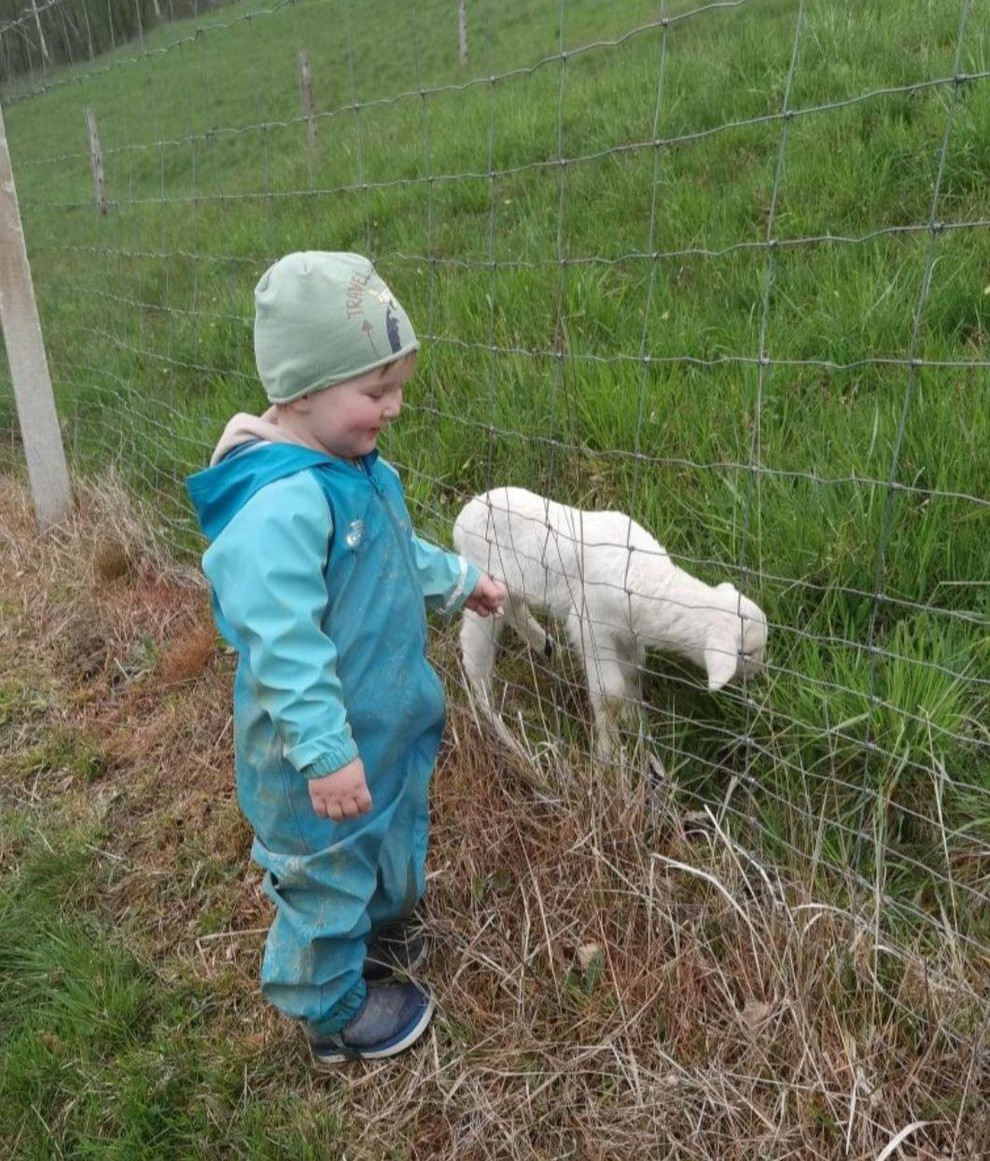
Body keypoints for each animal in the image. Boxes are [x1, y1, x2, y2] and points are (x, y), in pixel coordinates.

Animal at [452, 487, 770, 761]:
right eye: (745, 653)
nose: (758, 675)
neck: (648, 578)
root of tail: (461, 518)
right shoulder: (590, 624)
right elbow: (610, 693)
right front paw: (609, 753)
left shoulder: (627, 634)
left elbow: (633, 672)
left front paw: (635, 722)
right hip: (483, 587)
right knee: (475, 653)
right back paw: (493, 721)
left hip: (511, 588)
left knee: (514, 609)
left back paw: (545, 646)